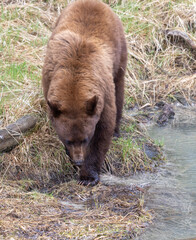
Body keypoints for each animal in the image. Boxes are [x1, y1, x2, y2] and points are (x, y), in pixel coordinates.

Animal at [42, 0, 127, 186]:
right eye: (68, 139)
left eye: (85, 138)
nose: (78, 160)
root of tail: (96, 2)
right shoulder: (48, 81)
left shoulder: (102, 95)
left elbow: (103, 130)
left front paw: (88, 176)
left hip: (119, 50)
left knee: (119, 89)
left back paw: (117, 131)